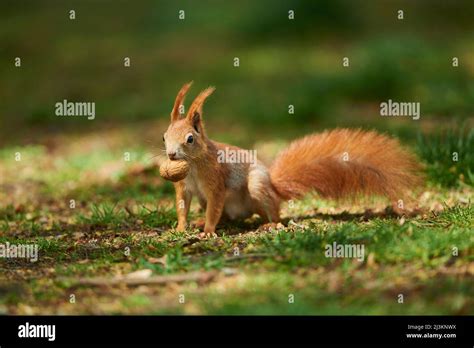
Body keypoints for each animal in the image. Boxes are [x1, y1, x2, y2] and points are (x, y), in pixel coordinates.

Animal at [162, 82, 422, 237]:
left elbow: (215, 204)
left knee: (274, 214)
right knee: (226, 215)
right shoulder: (184, 187)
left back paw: (270, 224)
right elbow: (182, 205)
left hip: (257, 186)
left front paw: (207, 230)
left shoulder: (215, 180)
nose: (171, 154)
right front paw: (182, 227)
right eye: (164, 137)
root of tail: (275, 188)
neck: (194, 165)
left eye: (190, 139)